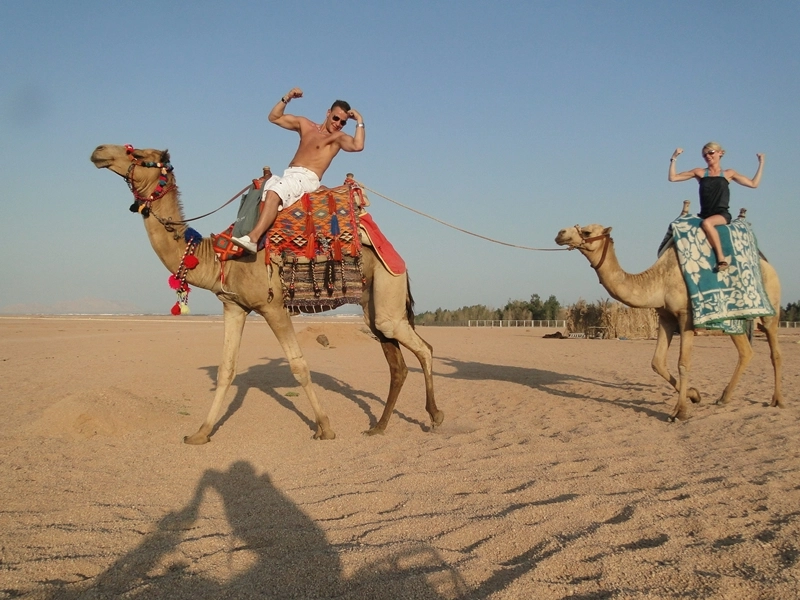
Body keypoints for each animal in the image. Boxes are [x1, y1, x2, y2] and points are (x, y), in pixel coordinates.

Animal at [90, 144, 443, 443]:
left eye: (138, 154)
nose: (99, 151)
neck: (219, 256)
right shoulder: (233, 306)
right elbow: (226, 369)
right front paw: (200, 433)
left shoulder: (273, 307)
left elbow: (299, 366)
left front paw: (325, 428)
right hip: (373, 300)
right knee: (395, 362)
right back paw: (378, 427)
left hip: (389, 280)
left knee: (422, 348)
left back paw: (435, 416)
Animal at [554, 216, 783, 421]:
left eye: (587, 232)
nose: (560, 233)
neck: (660, 281)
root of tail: (770, 267)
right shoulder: (665, 317)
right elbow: (657, 362)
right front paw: (694, 394)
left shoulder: (685, 316)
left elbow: (683, 362)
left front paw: (680, 412)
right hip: (732, 319)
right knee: (746, 351)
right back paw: (724, 398)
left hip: (771, 310)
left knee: (774, 351)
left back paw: (777, 400)